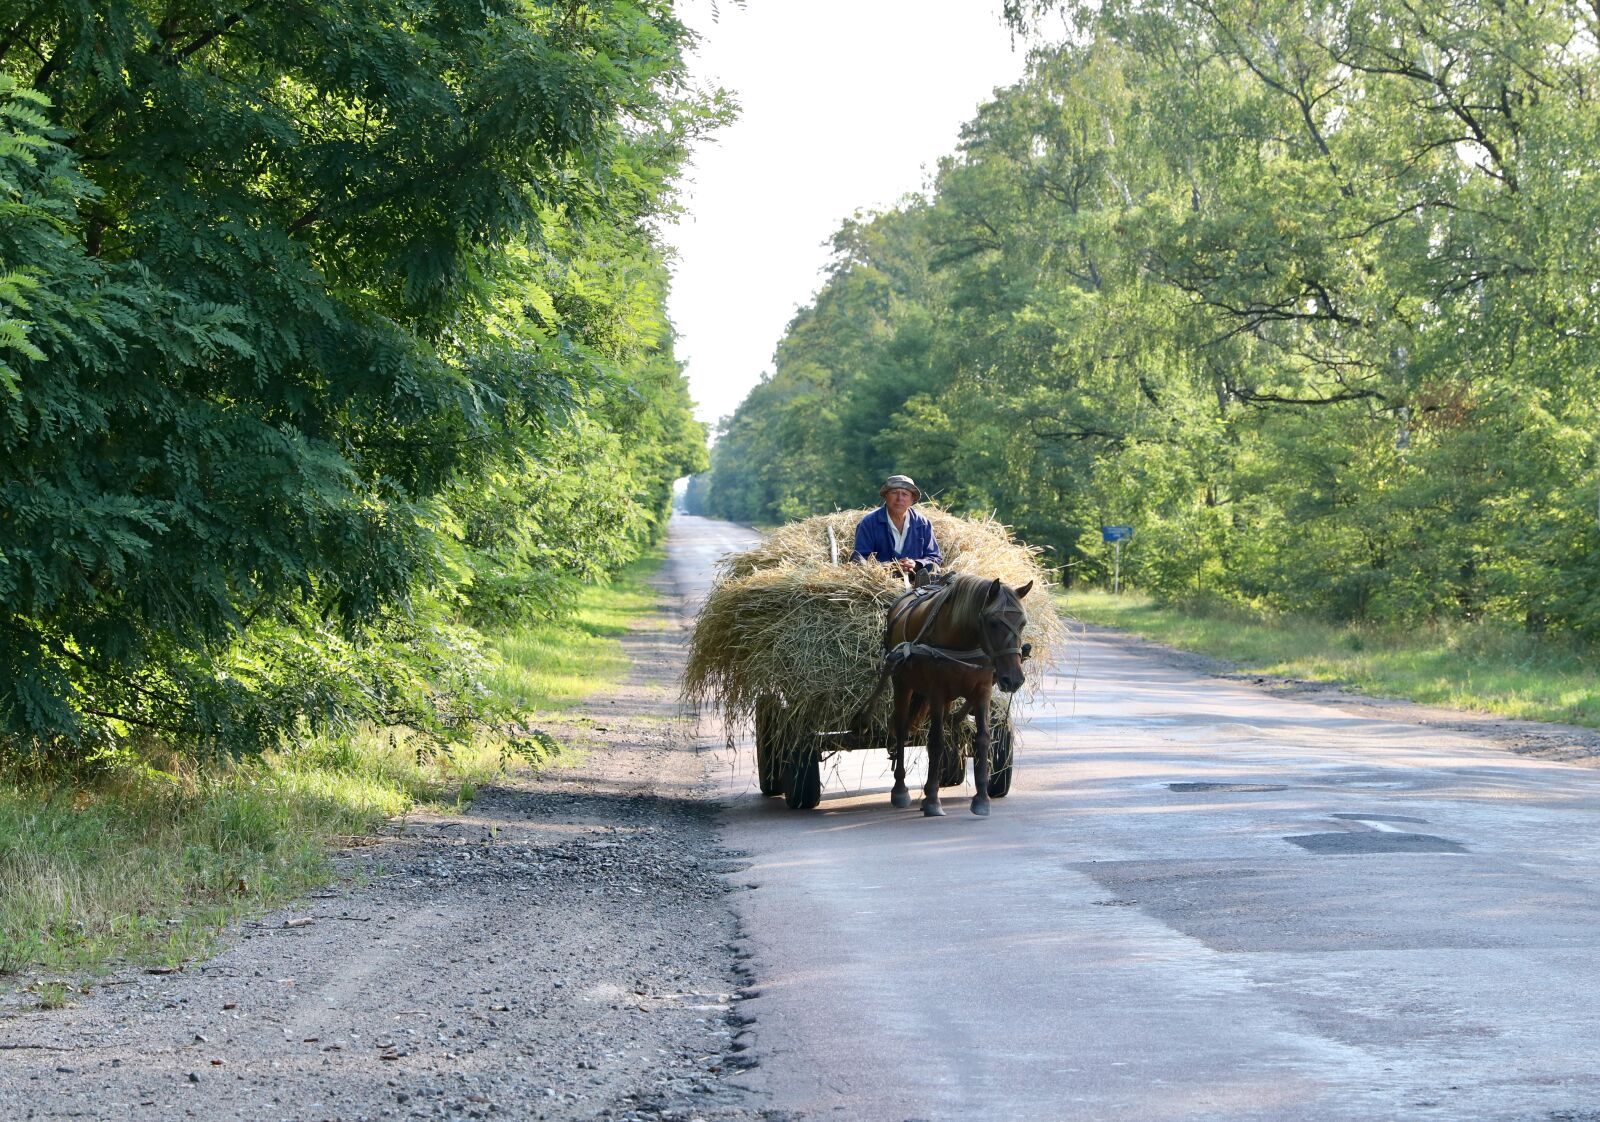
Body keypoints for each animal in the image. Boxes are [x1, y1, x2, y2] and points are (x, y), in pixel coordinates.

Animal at [883, 573, 1030, 819]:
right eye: (993, 622)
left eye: (1023, 623)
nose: (1013, 679)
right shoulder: (936, 691)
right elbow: (935, 741)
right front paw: (933, 801)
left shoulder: (982, 691)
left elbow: (983, 739)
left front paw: (981, 800)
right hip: (902, 684)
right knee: (902, 731)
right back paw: (901, 790)